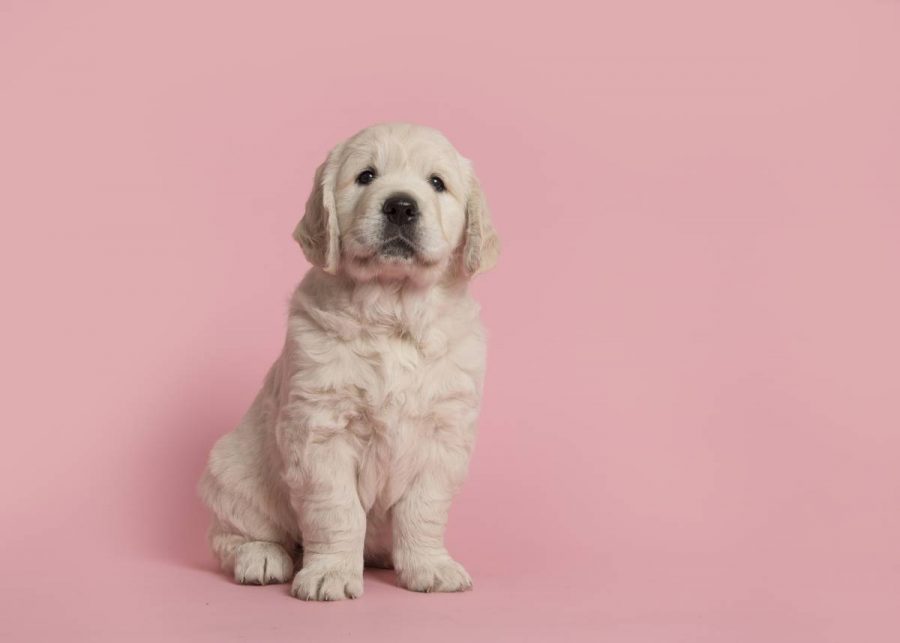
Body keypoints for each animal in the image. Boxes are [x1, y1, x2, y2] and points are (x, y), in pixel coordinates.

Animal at [196, 123, 500, 600]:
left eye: (437, 183)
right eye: (366, 176)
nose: (400, 206)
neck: (393, 313)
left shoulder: (444, 433)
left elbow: (424, 508)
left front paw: (430, 567)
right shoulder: (320, 430)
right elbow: (336, 510)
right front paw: (330, 574)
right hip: (233, 473)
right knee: (234, 536)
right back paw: (262, 558)